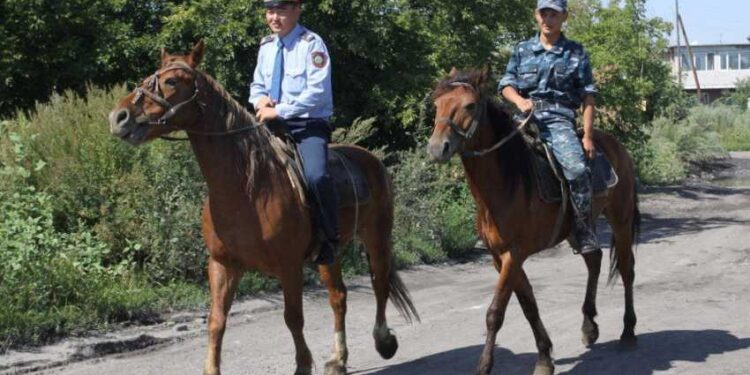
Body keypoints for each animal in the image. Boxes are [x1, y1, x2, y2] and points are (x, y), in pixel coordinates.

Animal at [108, 40, 420, 375]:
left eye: (171, 81)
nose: (119, 117)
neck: (247, 188)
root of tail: (371, 159)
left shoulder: (289, 265)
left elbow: (293, 318)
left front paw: (302, 365)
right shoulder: (222, 264)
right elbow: (216, 321)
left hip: (377, 237)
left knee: (380, 284)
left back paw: (383, 341)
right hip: (330, 254)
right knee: (339, 296)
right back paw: (338, 359)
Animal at [428, 68, 640, 375]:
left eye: (469, 105)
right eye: (437, 104)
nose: (437, 148)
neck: (507, 183)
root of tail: (616, 147)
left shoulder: (513, 255)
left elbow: (495, 313)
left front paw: (484, 366)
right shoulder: (500, 257)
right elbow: (528, 305)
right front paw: (544, 357)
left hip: (621, 219)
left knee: (626, 270)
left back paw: (628, 331)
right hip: (578, 228)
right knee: (594, 259)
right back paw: (589, 326)